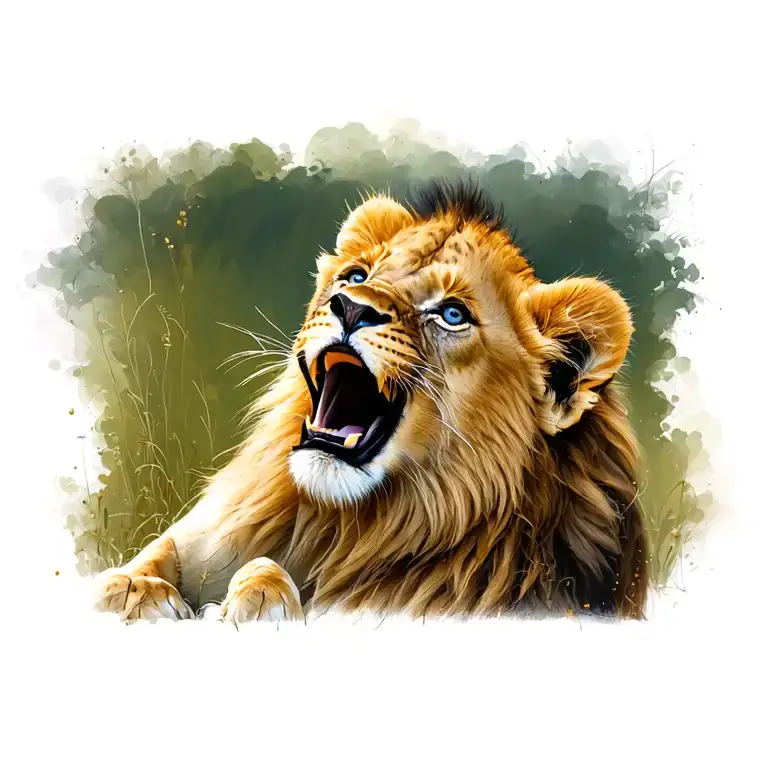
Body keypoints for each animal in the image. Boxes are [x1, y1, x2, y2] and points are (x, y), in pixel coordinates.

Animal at [93, 179, 648, 623]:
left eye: (452, 313)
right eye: (357, 276)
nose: (352, 307)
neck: (339, 525)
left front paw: (260, 597)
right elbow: (153, 556)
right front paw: (133, 591)